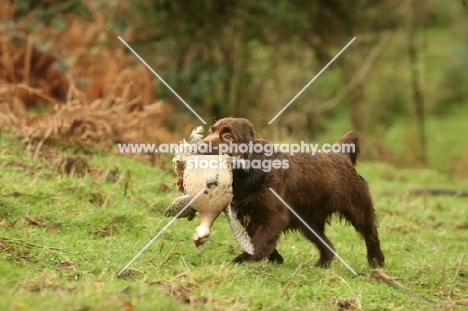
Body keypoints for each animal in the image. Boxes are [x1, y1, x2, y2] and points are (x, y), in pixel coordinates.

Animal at [197, 117, 384, 268]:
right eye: (210, 132)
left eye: (228, 136)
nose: (199, 146)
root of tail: (341, 155)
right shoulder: (250, 217)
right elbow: (259, 240)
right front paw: (276, 258)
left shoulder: (274, 216)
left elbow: (259, 242)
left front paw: (244, 259)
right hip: (308, 222)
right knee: (327, 245)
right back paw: (322, 265)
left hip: (359, 208)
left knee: (371, 233)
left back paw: (376, 260)